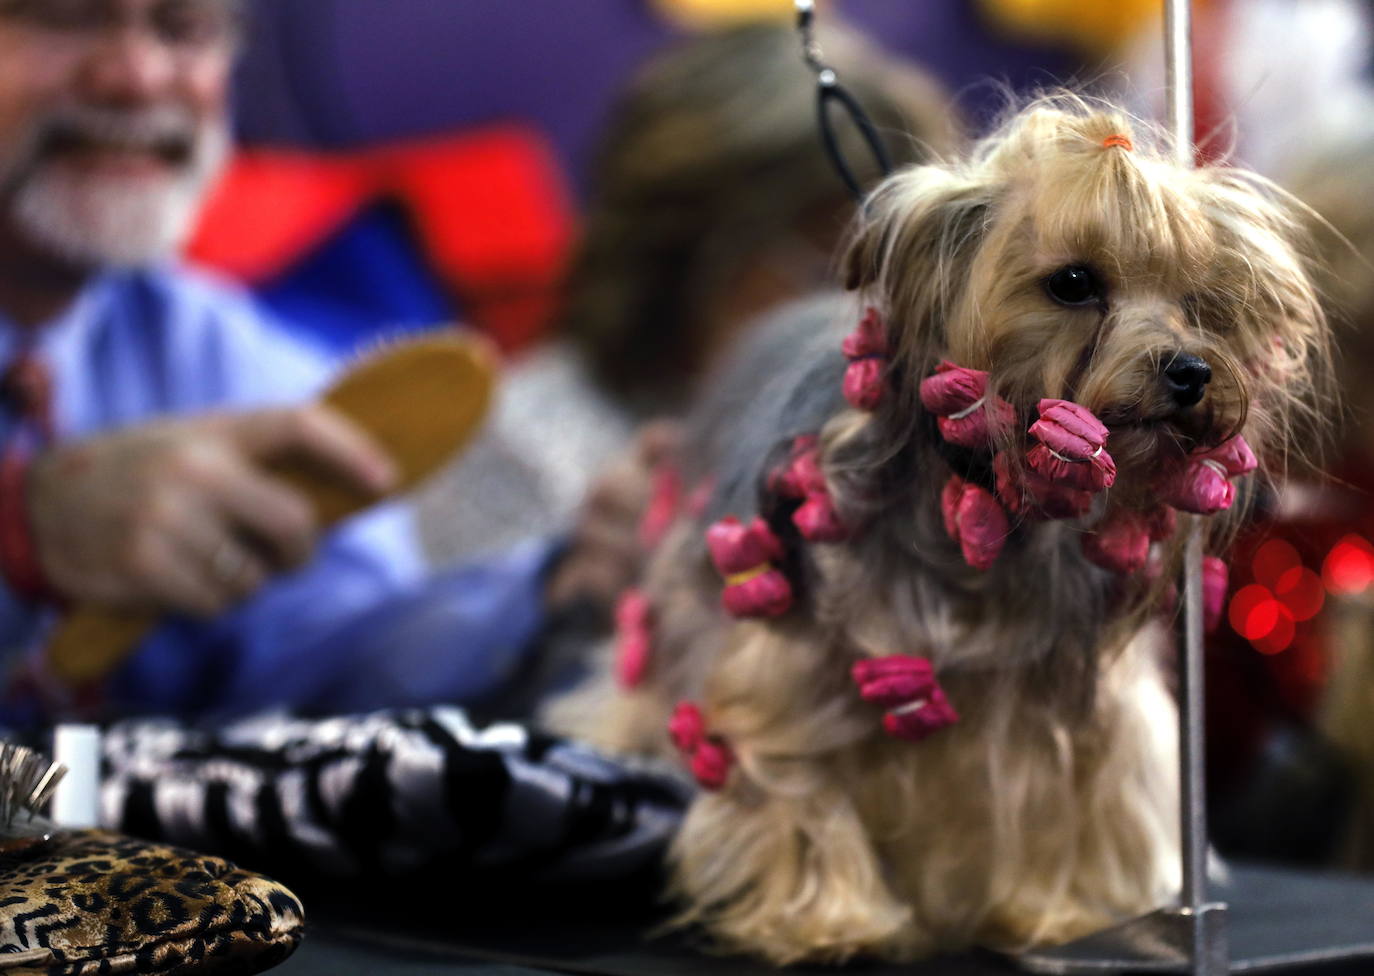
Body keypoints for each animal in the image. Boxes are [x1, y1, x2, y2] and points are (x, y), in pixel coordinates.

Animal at [555, 95, 1330, 967]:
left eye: (1203, 299)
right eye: (1073, 283)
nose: (1191, 371)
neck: (988, 506)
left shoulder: (1067, 706)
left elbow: (1061, 798)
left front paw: (1054, 916)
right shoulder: (793, 671)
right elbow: (800, 783)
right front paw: (830, 921)